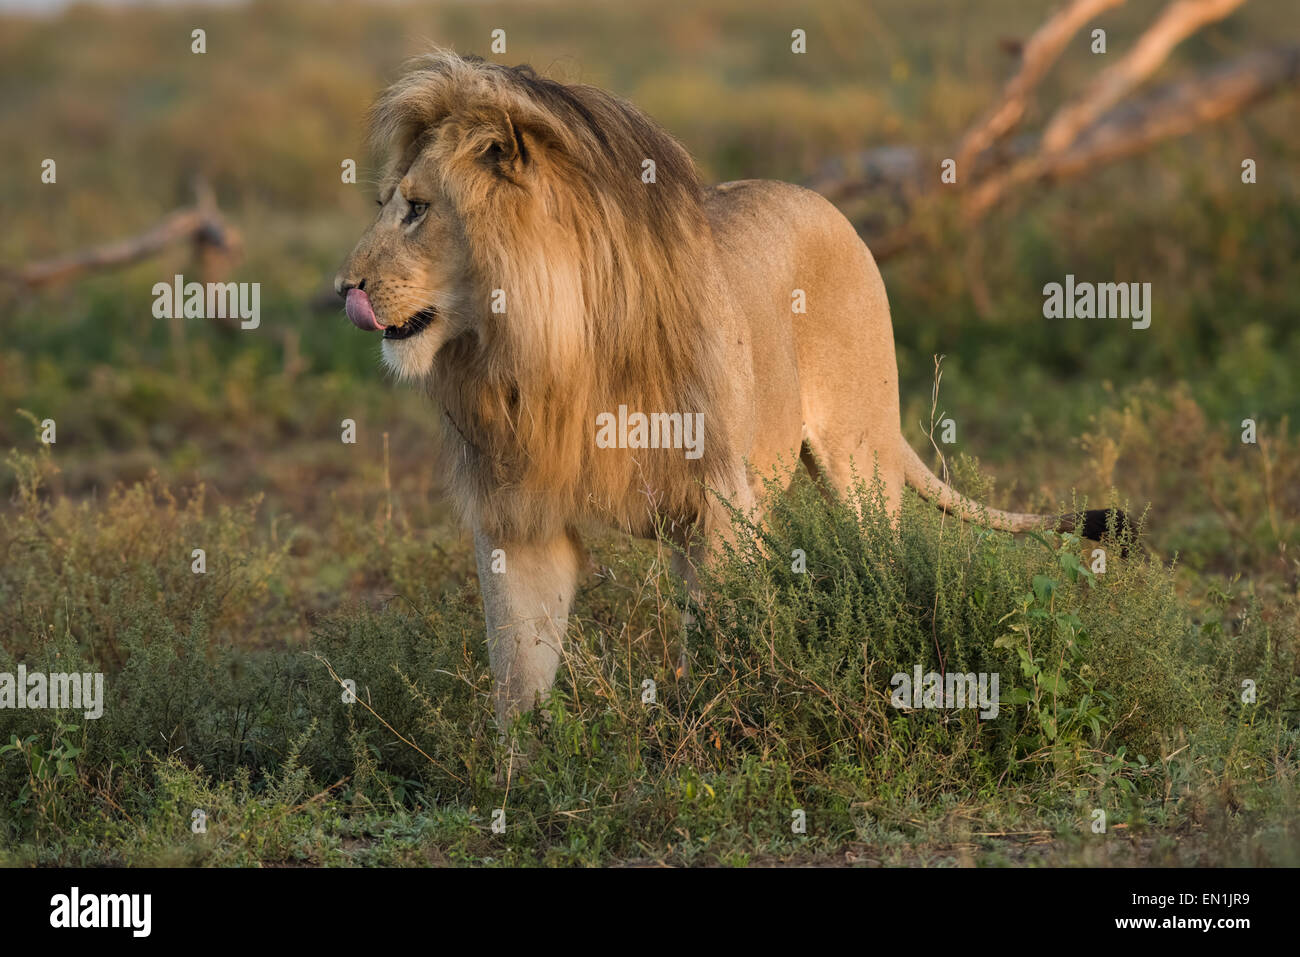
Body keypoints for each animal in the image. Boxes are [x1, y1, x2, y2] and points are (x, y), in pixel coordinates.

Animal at [332, 50, 1118, 722]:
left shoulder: (715, 502)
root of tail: (824, 203)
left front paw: (710, 738)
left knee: (884, 557)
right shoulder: (519, 513)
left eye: (417, 209)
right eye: (390, 202)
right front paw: (516, 780)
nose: (343, 289)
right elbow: (518, 668)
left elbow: (715, 646)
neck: (548, 345)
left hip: (858, 459)